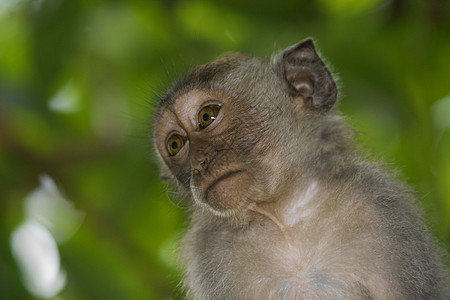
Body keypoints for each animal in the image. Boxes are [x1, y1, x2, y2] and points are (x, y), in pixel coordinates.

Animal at [153, 38, 448, 298]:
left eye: (206, 117)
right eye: (175, 144)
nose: (199, 165)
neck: (285, 214)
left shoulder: (384, 211)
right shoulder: (211, 254)